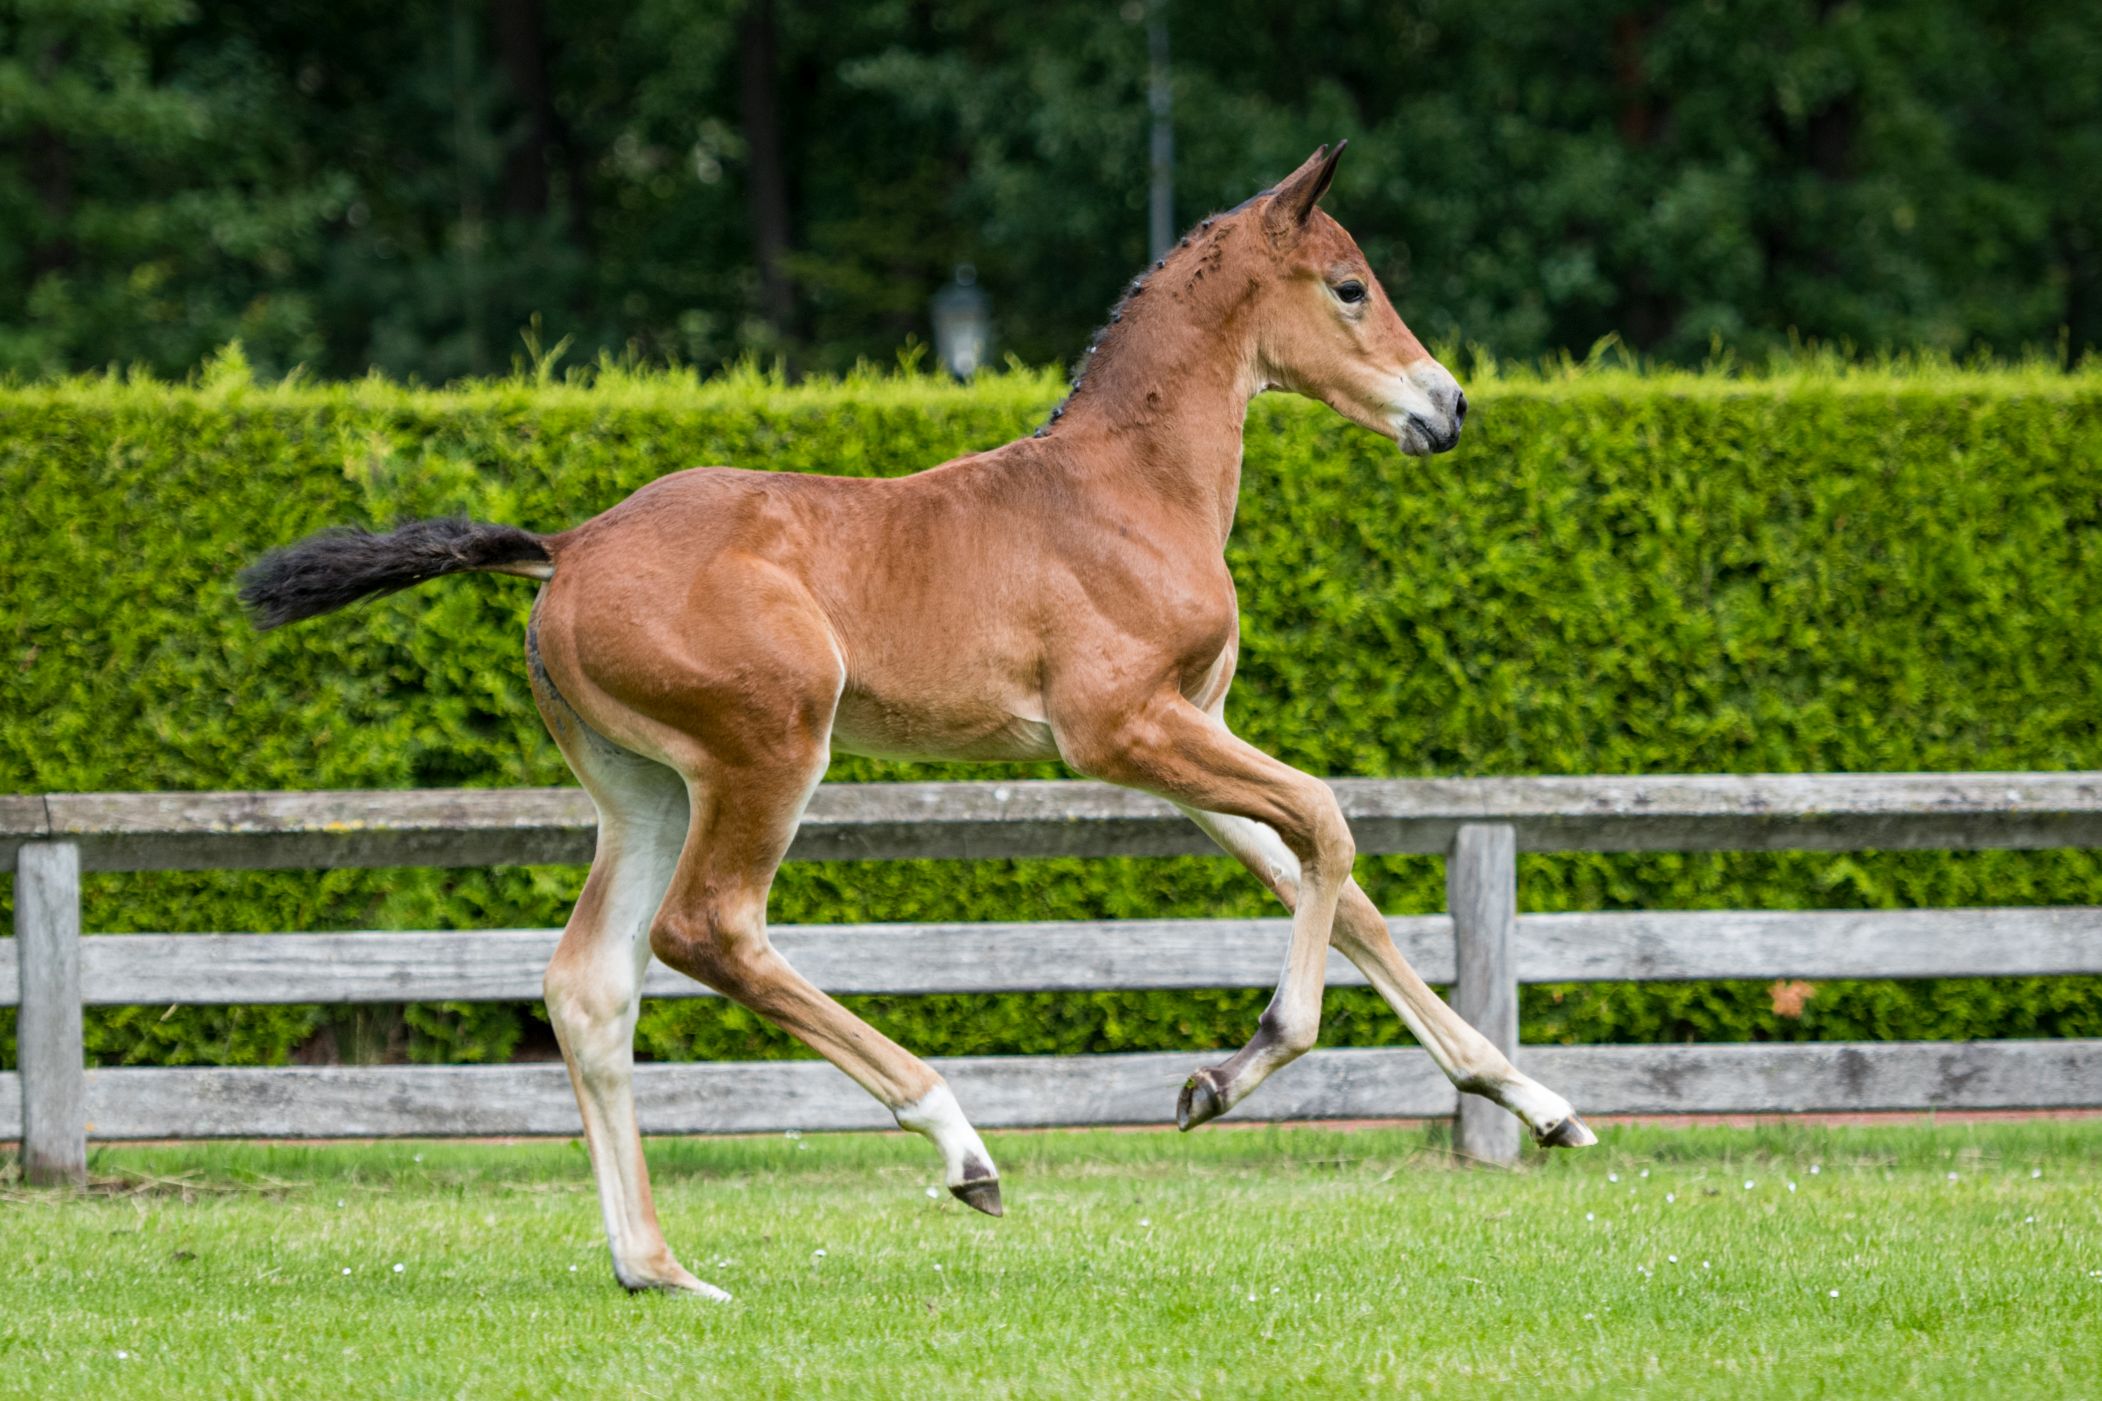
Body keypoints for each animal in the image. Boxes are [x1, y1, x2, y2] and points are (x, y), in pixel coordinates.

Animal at [241, 143, 1595, 1299]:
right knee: (708, 929)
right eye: (1350, 288)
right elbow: (1326, 821)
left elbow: (1331, 876)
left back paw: (658, 1268)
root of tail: (565, 547)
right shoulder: (1122, 733)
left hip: (644, 789)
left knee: (589, 983)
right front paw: (1230, 1070)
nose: (1448, 406)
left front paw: (1532, 1101)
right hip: (769, 748)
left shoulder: (1176, 740)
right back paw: (957, 1143)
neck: (1125, 489)